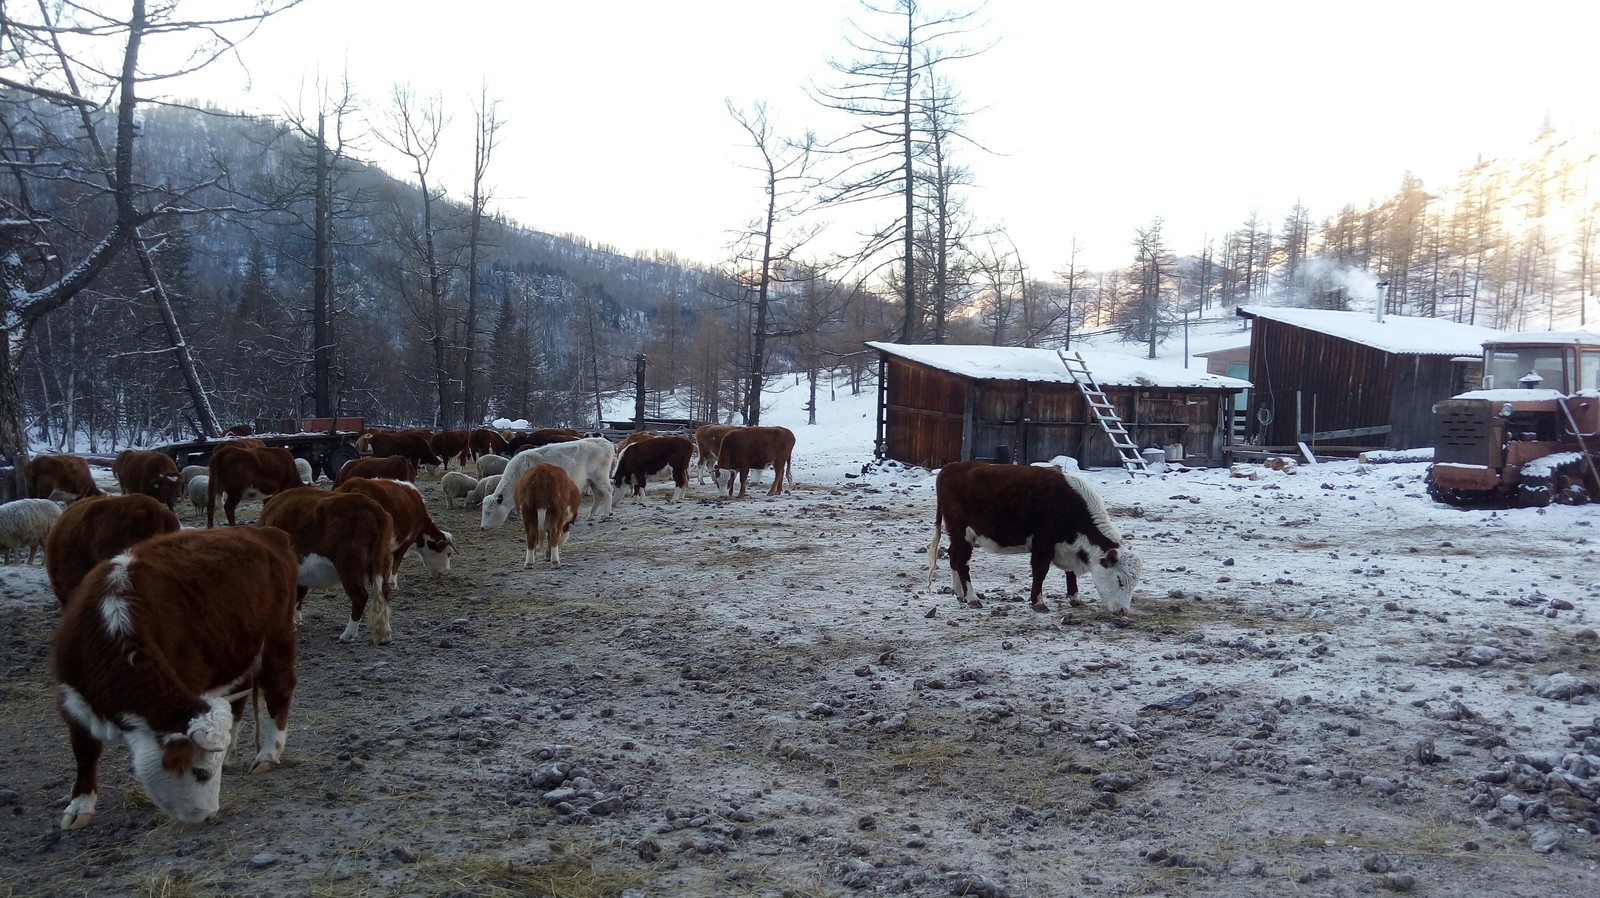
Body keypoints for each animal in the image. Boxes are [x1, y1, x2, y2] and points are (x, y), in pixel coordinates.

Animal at [51, 525, 300, 825]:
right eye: (202, 772)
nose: (210, 815)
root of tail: (266, 531)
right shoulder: (72, 702)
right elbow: (85, 753)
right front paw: (80, 806)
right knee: (240, 697)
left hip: (278, 637)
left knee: (279, 690)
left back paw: (268, 754)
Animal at [260, 486, 398, 640]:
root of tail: (371, 505)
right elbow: (298, 595)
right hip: (382, 560)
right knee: (384, 590)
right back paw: (386, 633)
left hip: (348, 565)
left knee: (360, 596)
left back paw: (348, 634)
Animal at [476, 435, 614, 525]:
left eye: (488, 512)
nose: (483, 527)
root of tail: (604, 442)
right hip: (591, 480)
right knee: (599, 495)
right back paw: (591, 516)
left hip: (600, 477)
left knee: (607, 492)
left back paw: (606, 515)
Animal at [921, 464, 1145, 611]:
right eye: (1120, 580)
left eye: (1134, 584)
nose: (1123, 611)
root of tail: (950, 467)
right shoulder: (1043, 545)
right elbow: (1040, 572)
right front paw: (1038, 602)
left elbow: (1070, 573)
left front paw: (1075, 597)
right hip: (962, 533)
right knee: (962, 562)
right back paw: (972, 597)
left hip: (957, 534)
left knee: (953, 557)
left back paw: (959, 594)